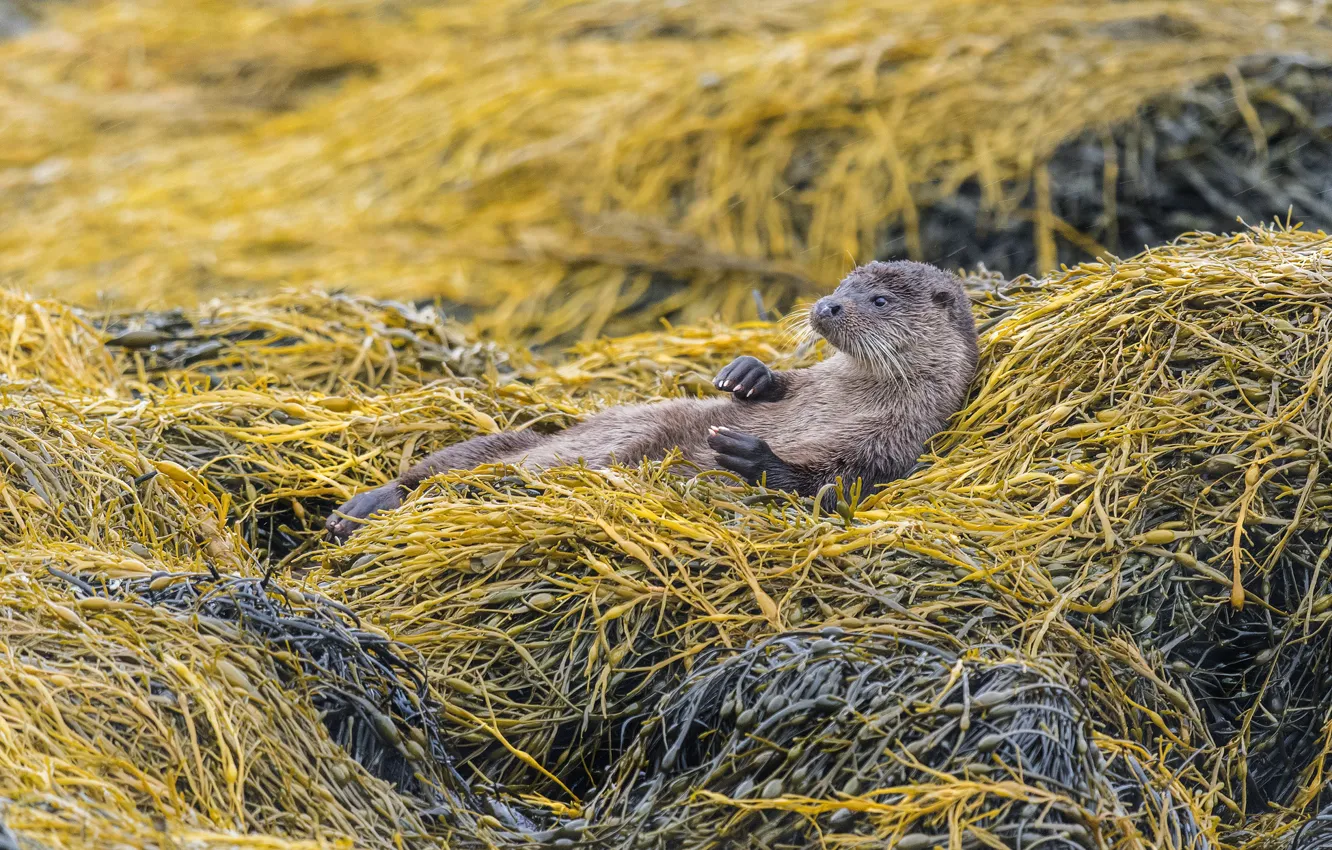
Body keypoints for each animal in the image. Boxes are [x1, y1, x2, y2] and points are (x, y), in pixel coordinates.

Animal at [323, 258, 980, 538]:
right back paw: (364, 505)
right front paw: (748, 374)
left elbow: (830, 487)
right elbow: (779, 385)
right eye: (844, 283)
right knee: (441, 466)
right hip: (540, 437)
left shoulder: (891, 445)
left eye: (879, 300)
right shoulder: (815, 384)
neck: (850, 397)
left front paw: (752, 455)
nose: (828, 305)